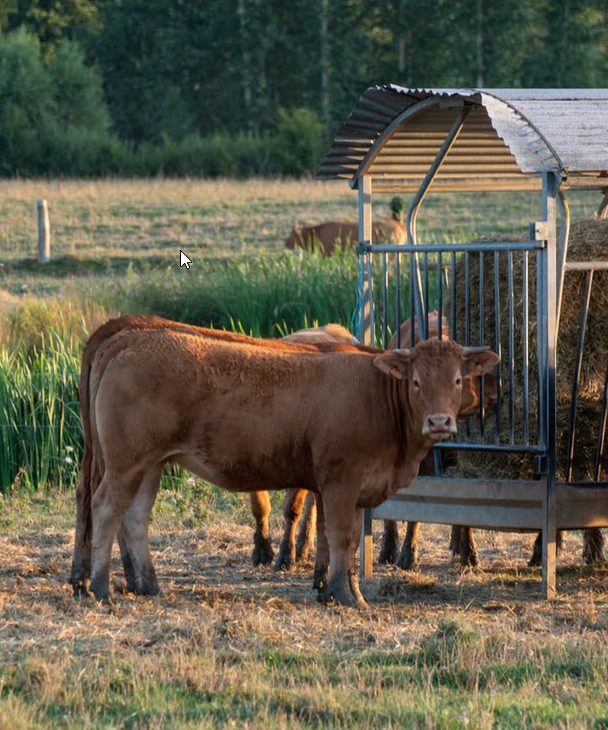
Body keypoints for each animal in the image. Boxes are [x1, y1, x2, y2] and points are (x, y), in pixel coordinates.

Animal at [71, 318, 498, 604]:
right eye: (416, 382)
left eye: (457, 379)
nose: (439, 421)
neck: (376, 394)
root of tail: (128, 341)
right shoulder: (342, 480)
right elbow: (340, 537)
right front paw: (345, 595)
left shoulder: (354, 487)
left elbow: (339, 540)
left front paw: (338, 590)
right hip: (126, 464)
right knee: (105, 509)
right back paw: (100, 587)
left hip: (149, 465)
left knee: (135, 517)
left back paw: (148, 584)